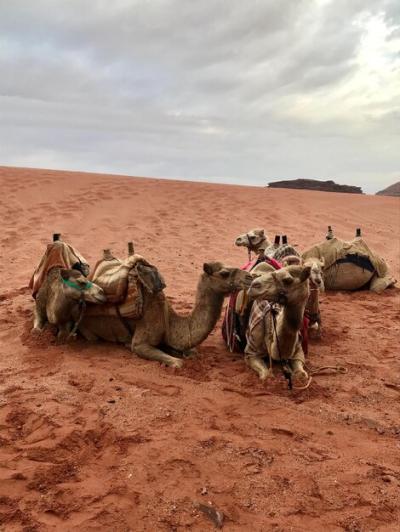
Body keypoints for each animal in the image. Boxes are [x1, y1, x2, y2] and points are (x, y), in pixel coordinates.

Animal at [79, 260, 252, 368]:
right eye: (224, 273)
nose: (250, 277)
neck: (171, 322)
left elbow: (191, 353)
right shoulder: (140, 343)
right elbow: (177, 363)